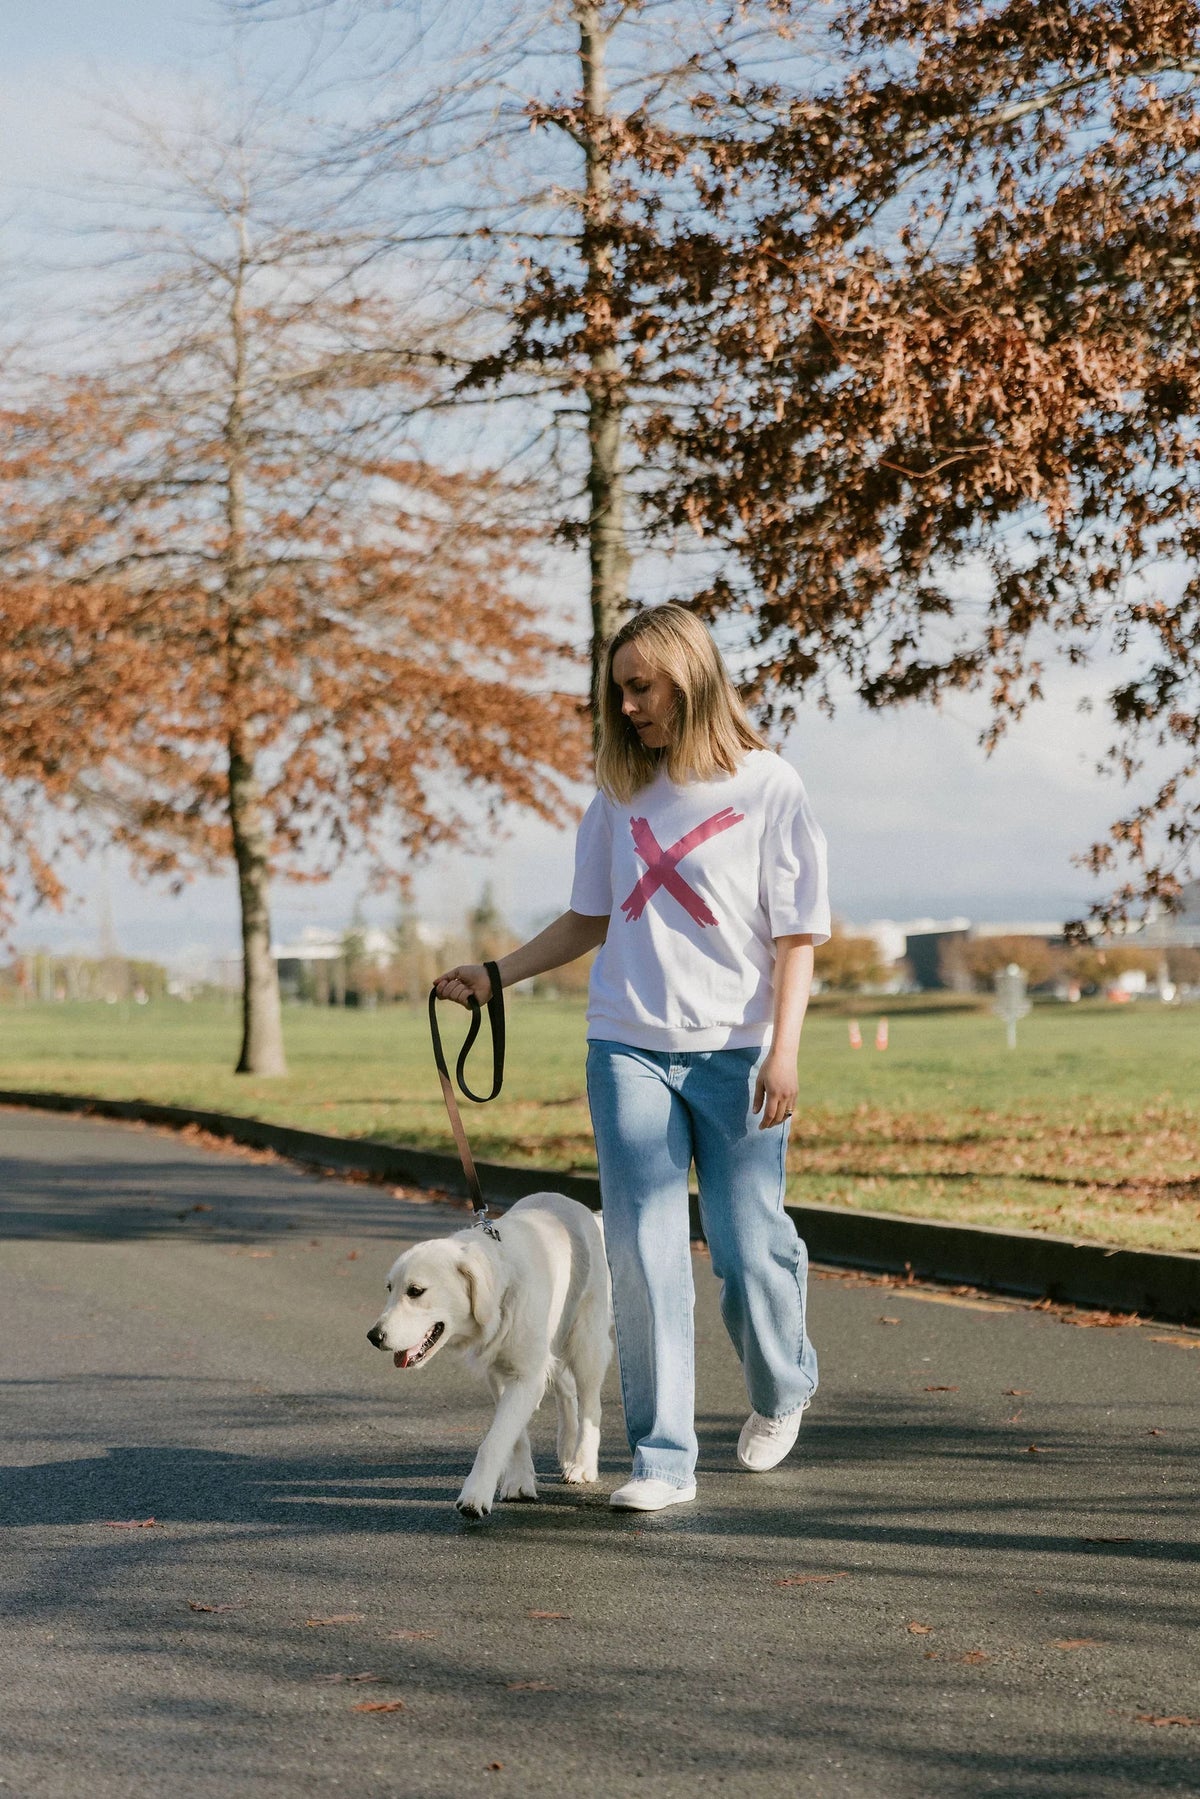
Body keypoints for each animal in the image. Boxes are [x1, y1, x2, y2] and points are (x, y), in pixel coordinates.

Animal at [363, 1194, 611, 1518]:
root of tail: (577, 1206)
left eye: (415, 1291)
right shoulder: (499, 1374)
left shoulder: (526, 1377)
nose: (373, 1337)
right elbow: (514, 1437)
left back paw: (582, 1464)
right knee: (567, 1390)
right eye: (389, 1288)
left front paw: (475, 1495)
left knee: (591, 1404)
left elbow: (495, 1440)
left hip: (586, 1342)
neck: (501, 1290)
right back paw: (567, 1450)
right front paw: (519, 1481)